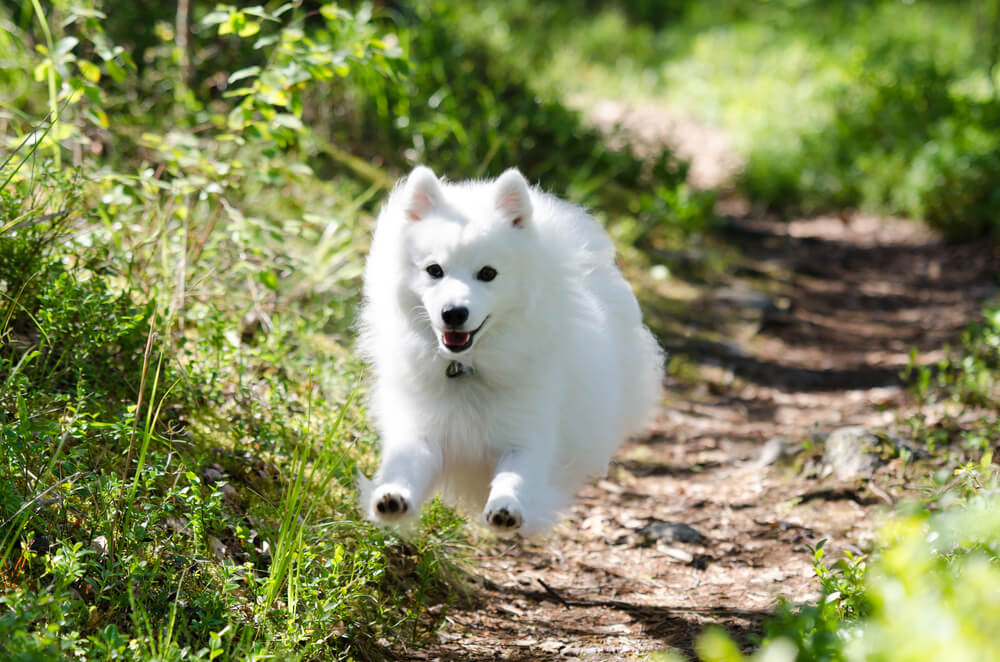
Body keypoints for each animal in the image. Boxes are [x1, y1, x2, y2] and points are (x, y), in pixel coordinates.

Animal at [356, 167, 660, 540]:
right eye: (434, 270)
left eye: (488, 273)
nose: (453, 313)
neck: (466, 368)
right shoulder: (422, 431)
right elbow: (405, 466)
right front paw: (391, 496)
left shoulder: (527, 436)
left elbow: (515, 477)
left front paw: (506, 507)